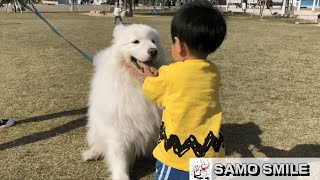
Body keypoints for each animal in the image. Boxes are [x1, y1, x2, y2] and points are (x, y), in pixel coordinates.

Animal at [82, 24, 166, 180]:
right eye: (136, 42)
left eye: (153, 41)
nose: (153, 51)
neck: (137, 82)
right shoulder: (119, 127)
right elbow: (119, 156)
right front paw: (121, 175)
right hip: (96, 127)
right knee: (99, 142)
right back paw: (93, 152)